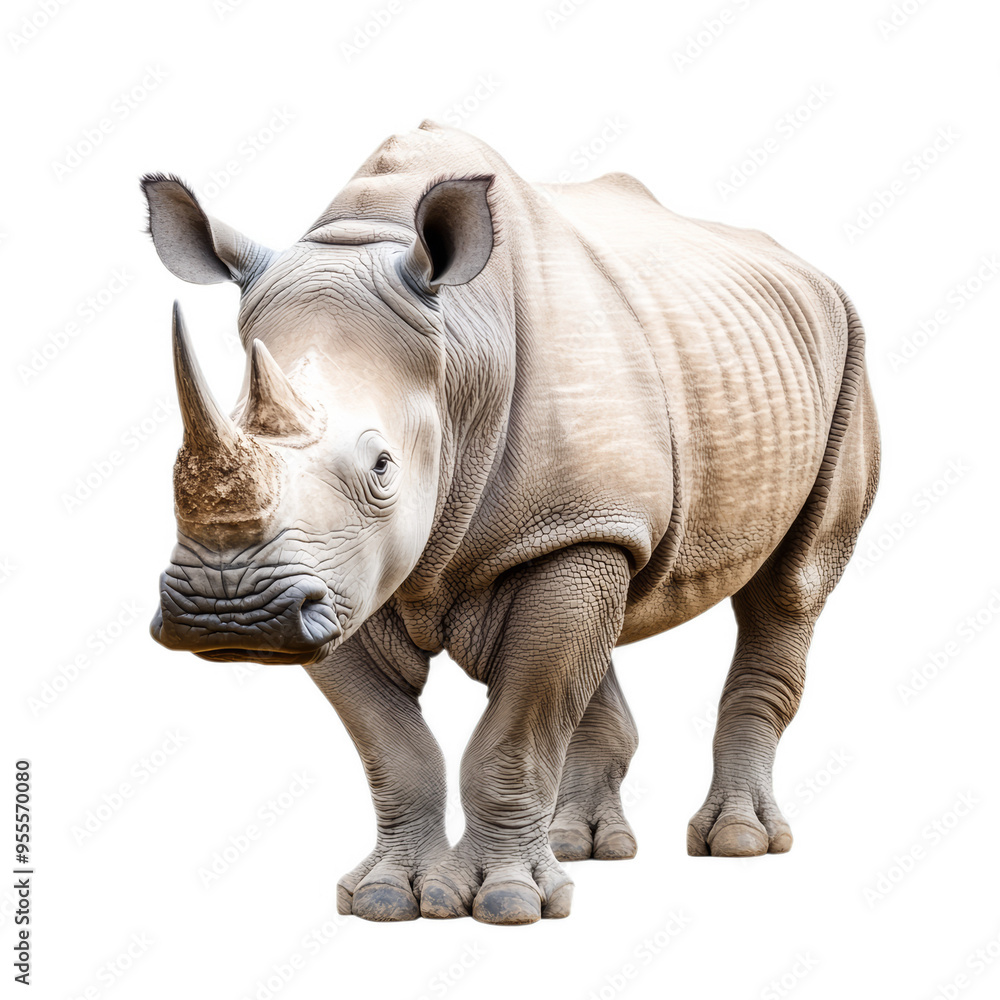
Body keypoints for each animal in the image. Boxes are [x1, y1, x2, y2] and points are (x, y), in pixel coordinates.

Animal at [144, 120, 879, 925]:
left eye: (382, 468)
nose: (229, 612)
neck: (460, 351)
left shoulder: (551, 527)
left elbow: (516, 732)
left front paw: (508, 903)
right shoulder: (342, 572)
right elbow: (392, 744)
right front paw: (385, 898)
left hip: (846, 355)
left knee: (791, 588)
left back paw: (738, 843)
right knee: (601, 622)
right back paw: (582, 845)